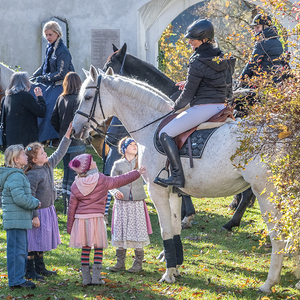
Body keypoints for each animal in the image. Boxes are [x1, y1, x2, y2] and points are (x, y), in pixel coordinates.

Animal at [72, 65, 286, 292]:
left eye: (87, 97)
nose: (75, 130)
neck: (151, 126)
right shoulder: (174, 193)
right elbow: (175, 229)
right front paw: (174, 270)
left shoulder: (157, 191)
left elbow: (165, 230)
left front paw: (167, 275)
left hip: (266, 193)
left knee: (278, 236)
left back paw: (268, 283)